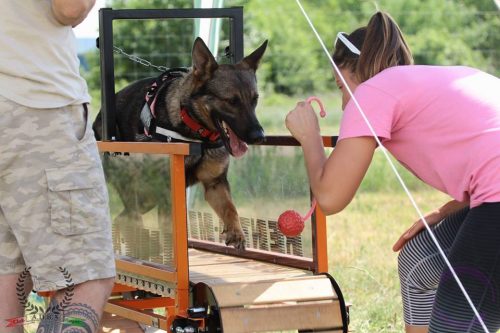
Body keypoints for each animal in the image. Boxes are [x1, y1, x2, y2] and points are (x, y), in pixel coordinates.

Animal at [92, 37, 268, 249]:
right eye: (231, 101)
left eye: (254, 99)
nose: (259, 136)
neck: (197, 133)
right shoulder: (168, 195)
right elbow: (171, 232)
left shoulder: (215, 185)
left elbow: (231, 209)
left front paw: (236, 232)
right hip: (141, 188)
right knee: (132, 216)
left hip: (148, 198)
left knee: (123, 217)